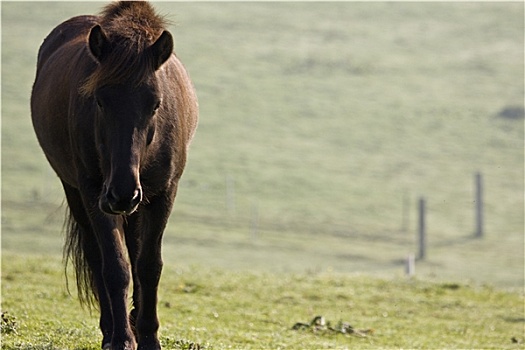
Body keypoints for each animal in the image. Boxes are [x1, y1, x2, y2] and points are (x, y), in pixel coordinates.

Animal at [31, 2, 199, 348]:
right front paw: (122, 338)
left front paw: (148, 337)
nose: (122, 193)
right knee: (97, 257)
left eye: (155, 104)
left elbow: (148, 265)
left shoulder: (164, 193)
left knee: (136, 253)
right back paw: (111, 328)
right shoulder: (94, 192)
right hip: (78, 192)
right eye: (99, 99)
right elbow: (115, 266)